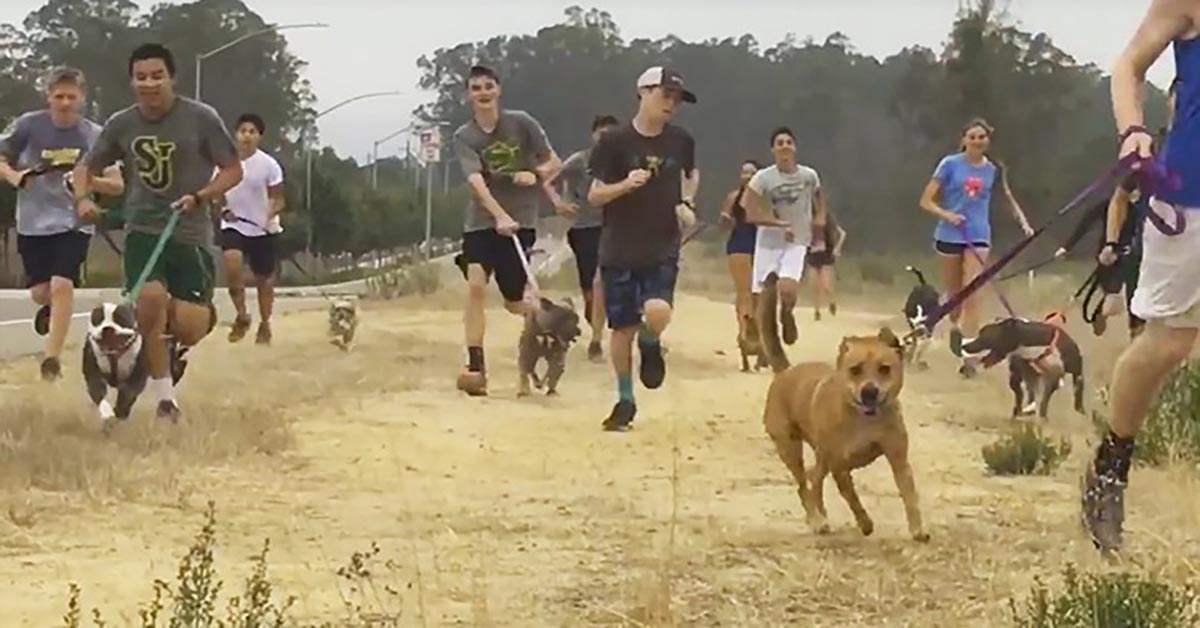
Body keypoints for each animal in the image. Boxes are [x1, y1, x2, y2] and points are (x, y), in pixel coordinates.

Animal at [763, 326, 931, 542]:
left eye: (884, 369)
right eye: (855, 370)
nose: (869, 391)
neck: (865, 419)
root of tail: (785, 373)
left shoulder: (899, 460)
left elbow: (909, 495)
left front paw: (918, 529)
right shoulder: (839, 467)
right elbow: (852, 497)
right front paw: (865, 523)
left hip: (821, 457)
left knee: (814, 480)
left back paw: (819, 515)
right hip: (790, 448)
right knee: (803, 486)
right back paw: (817, 521)